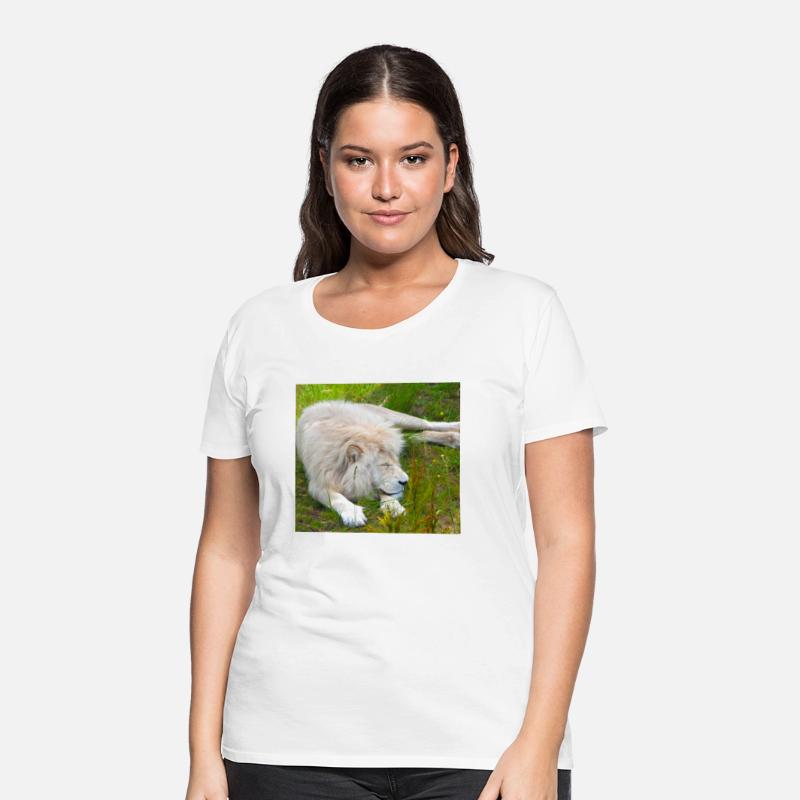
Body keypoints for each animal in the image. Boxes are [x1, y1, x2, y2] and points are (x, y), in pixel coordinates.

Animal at [296, 399, 460, 528]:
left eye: (397, 462)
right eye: (385, 465)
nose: (406, 482)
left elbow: (386, 492)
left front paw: (393, 507)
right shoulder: (318, 483)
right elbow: (336, 498)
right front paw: (353, 515)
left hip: (397, 418)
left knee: (427, 423)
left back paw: (456, 428)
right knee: (418, 435)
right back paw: (454, 438)